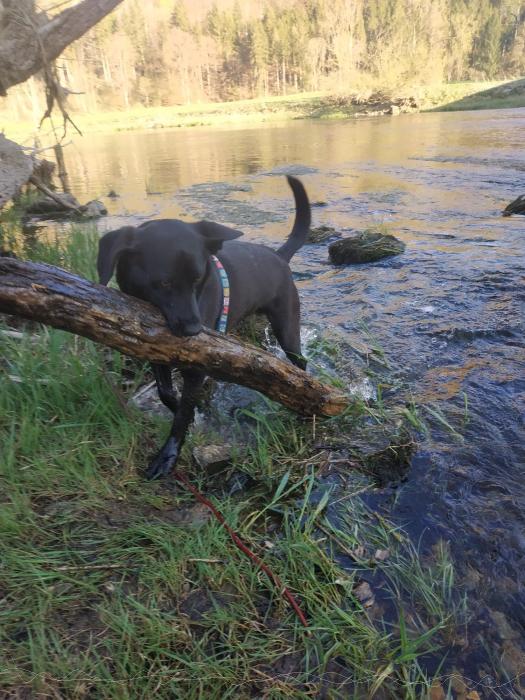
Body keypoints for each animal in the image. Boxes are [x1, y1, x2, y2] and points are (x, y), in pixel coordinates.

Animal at [97, 178, 310, 478]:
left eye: (197, 279)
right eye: (164, 283)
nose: (194, 330)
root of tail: (278, 256)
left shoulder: (195, 368)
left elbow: (183, 414)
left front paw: (168, 455)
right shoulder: (155, 350)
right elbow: (166, 393)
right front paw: (181, 409)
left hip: (287, 328)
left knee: (300, 366)